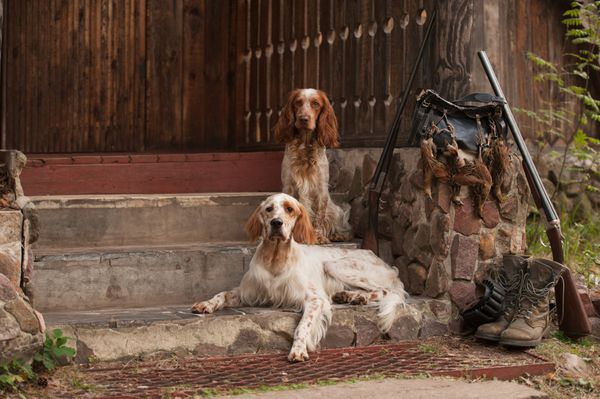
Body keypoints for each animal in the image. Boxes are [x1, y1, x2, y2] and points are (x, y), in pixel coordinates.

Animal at [192, 193, 408, 362]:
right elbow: (222, 294)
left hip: (334, 265)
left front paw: (298, 349)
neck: (275, 259)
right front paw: (206, 304)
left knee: (387, 291)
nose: (276, 223)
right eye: (269, 209)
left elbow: (303, 326)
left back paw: (357, 297)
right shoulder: (248, 293)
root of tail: (385, 263)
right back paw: (350, 296)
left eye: (289, 209)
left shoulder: (315, 299)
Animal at [272, 88, 352, 244]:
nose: (303, 118)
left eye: (316, 104)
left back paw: (338, 235)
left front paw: (318, 236)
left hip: (336, 211)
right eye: (298, 103)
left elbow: (319, 217)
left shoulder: (321, 189)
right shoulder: (288, 185)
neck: (305, 146)